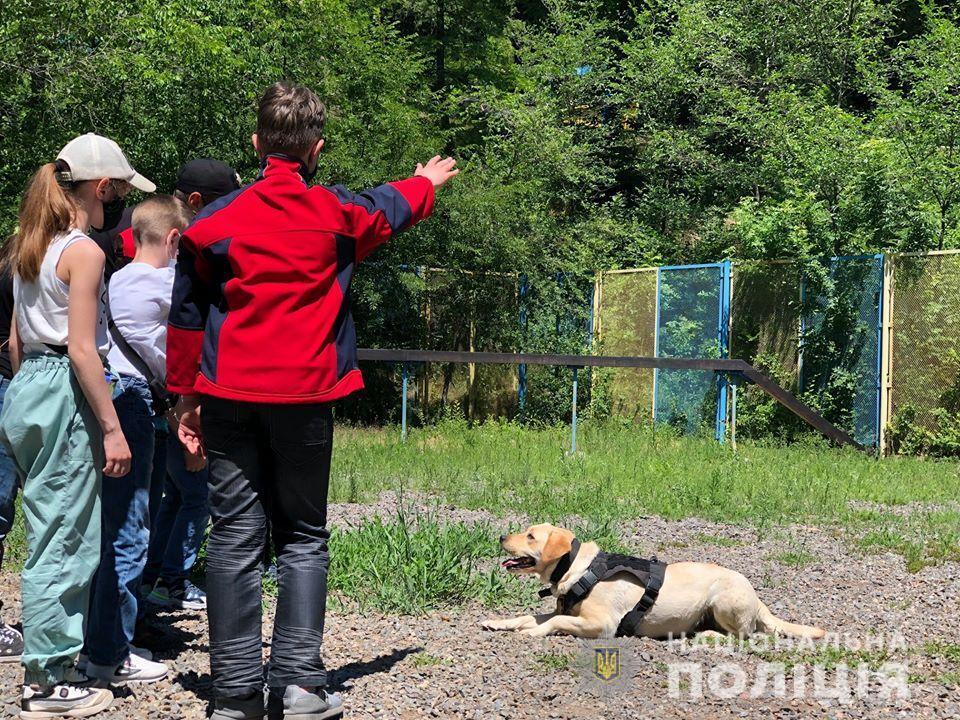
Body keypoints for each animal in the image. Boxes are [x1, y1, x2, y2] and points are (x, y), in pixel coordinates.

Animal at [480, 524, 824, 640]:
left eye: (530, 536)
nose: (501, 536)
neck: (577, 568)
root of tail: (756, 596)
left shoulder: (602, 624)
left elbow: (551, 623)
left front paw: (533, 632)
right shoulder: (565, 610)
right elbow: (529, 615)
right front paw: (498, 622)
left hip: (723, 600)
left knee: (743, 636)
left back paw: (708, 638)